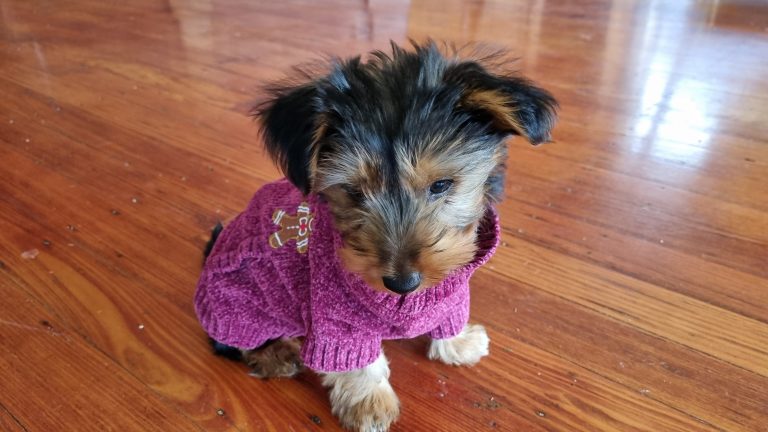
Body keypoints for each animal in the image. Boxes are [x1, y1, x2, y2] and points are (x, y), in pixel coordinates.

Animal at [196, 39, 560, 428]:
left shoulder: (451, 288)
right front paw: (368, 404)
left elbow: (450, 312)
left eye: (441, 185)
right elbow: (355, 361)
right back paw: (276, 353)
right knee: (231, 340)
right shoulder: (336, 316)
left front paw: (458, 343)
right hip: (239, 300)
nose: (402, 283)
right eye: (354, 192)